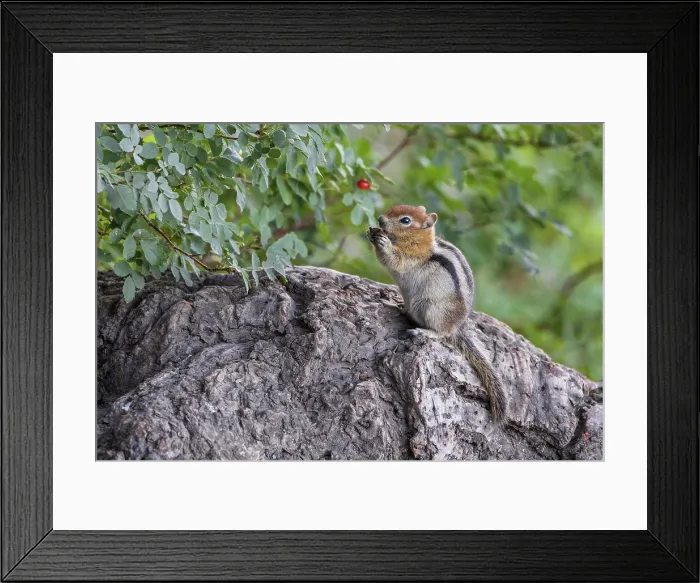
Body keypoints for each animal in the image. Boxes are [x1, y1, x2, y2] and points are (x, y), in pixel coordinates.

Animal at [367, 204, 508, 423]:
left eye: (405, 220)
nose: (381, 219)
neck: (418, 241)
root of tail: (456, 327)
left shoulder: (412, 256)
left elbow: (395, 261)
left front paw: (383, 242)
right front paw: (372, 233)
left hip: (433, 309)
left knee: (442, 333)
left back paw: (425, 332)